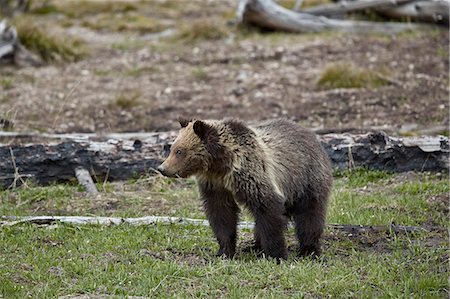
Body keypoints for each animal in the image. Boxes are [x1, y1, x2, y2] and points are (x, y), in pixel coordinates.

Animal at [157, 118, 330, 262]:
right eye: (172, 148)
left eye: (179, 151)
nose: (162, 168)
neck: (220, 165)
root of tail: (311, 134)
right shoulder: (215, 185)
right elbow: (222, 214)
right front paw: (224, 251)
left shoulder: (251, 173)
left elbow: (268, 210)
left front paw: (277, 254)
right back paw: (255, 246)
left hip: (306, 179)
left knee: (309, 215)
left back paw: (308, 250)